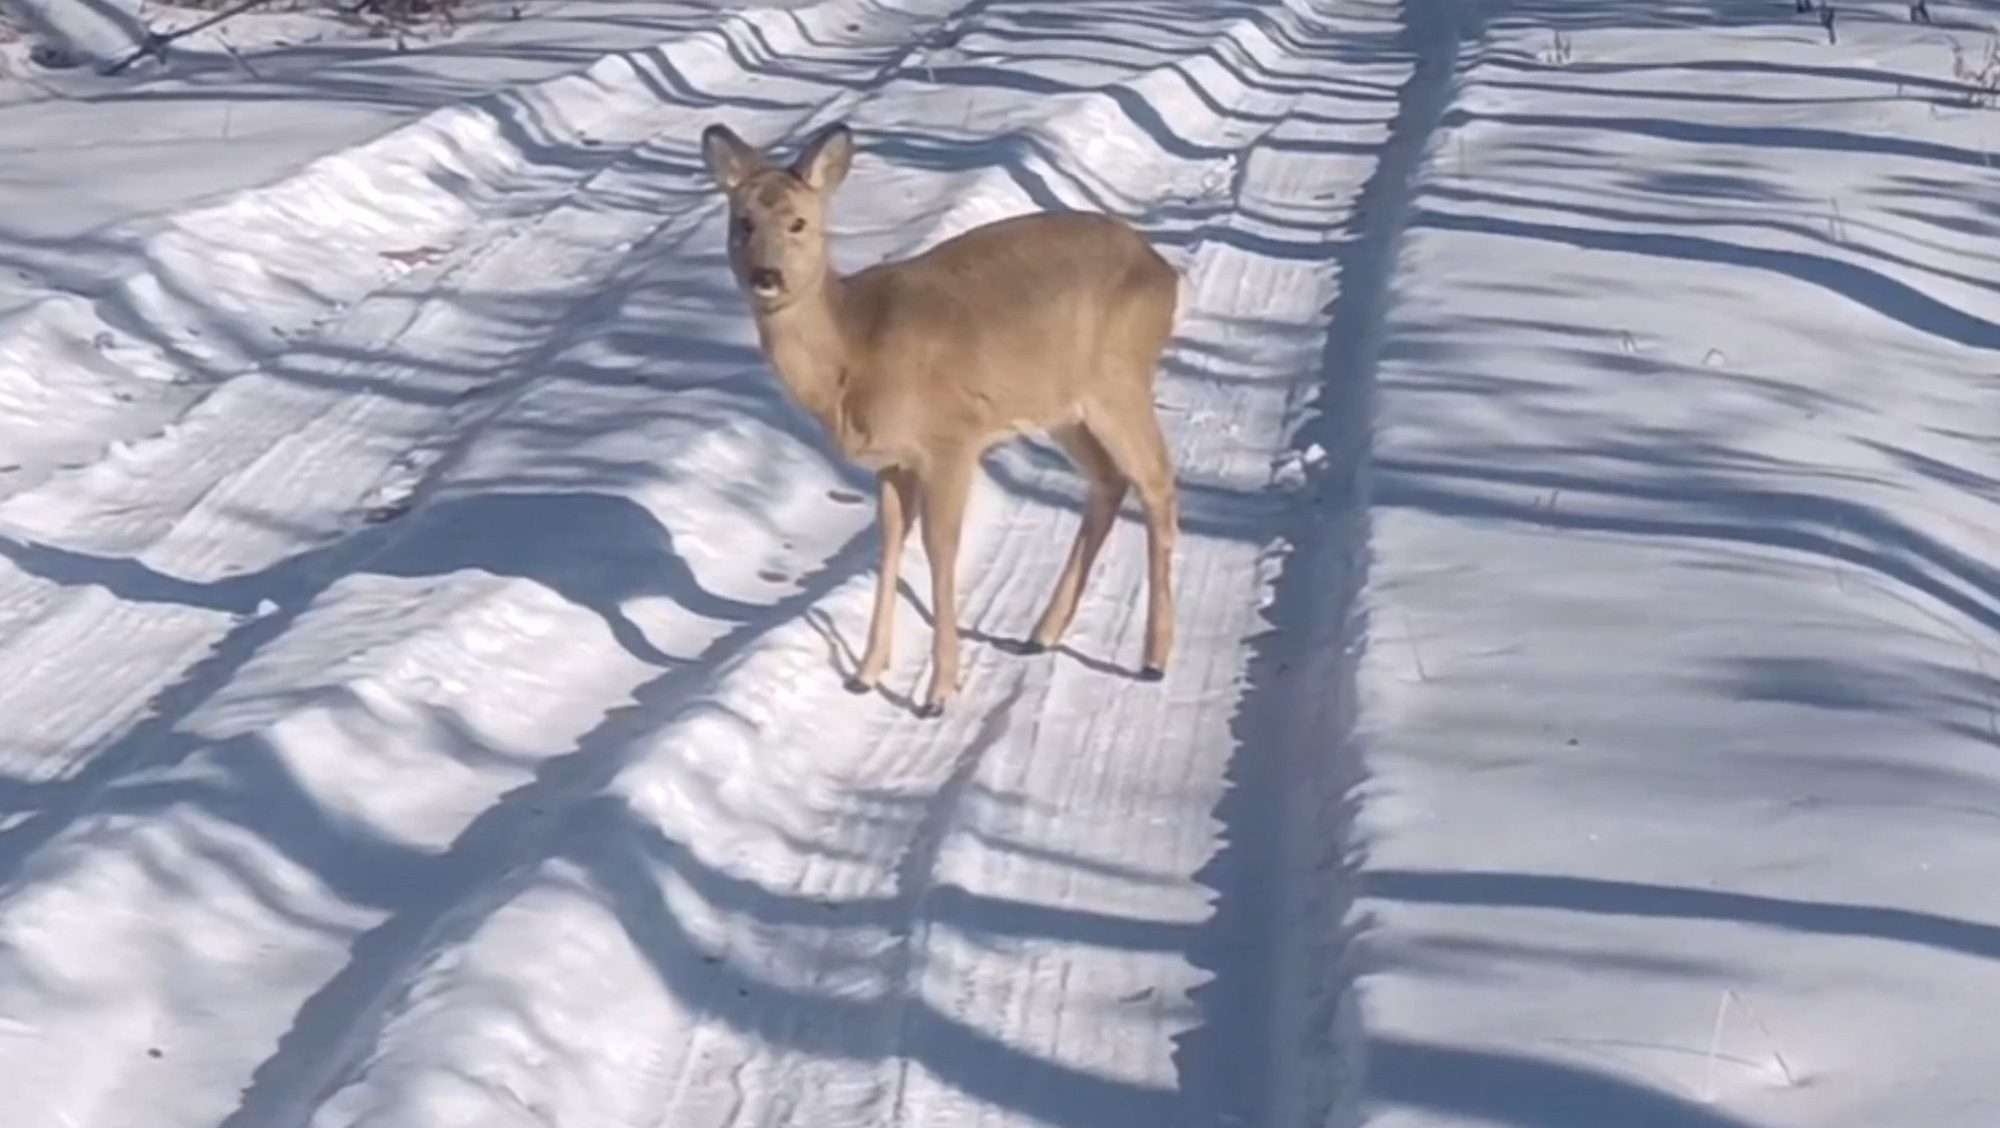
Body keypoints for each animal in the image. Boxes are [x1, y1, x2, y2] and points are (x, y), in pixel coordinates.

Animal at [700, 121, 1176, 712]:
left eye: (798, 222)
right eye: (742, 221)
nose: (766, 275)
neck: (854, 350)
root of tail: (1166, 272)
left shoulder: (952, 440)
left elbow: (939, 550)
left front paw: (938, 691)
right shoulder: (892, 462)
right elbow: (888, 548)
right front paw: (865, 673)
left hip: (1119, 380)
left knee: (1157, 480)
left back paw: (1153, 659)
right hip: (1064, 408)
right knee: (1110, 480)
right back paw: (1041, 634)